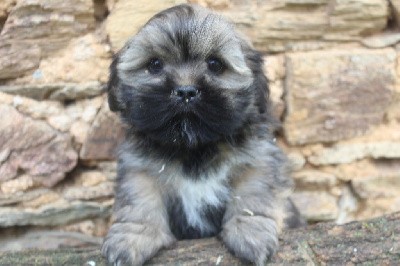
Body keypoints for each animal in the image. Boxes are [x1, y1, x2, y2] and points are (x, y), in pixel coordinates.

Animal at [102, 3, 304, 264]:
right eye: (155, 65)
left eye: (215, 64)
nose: (185, 91)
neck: (193, 147)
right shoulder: (139, 166)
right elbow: (139, 199)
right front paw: (133, 236)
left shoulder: (259, 158)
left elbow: (253, 192)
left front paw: (250, 232)